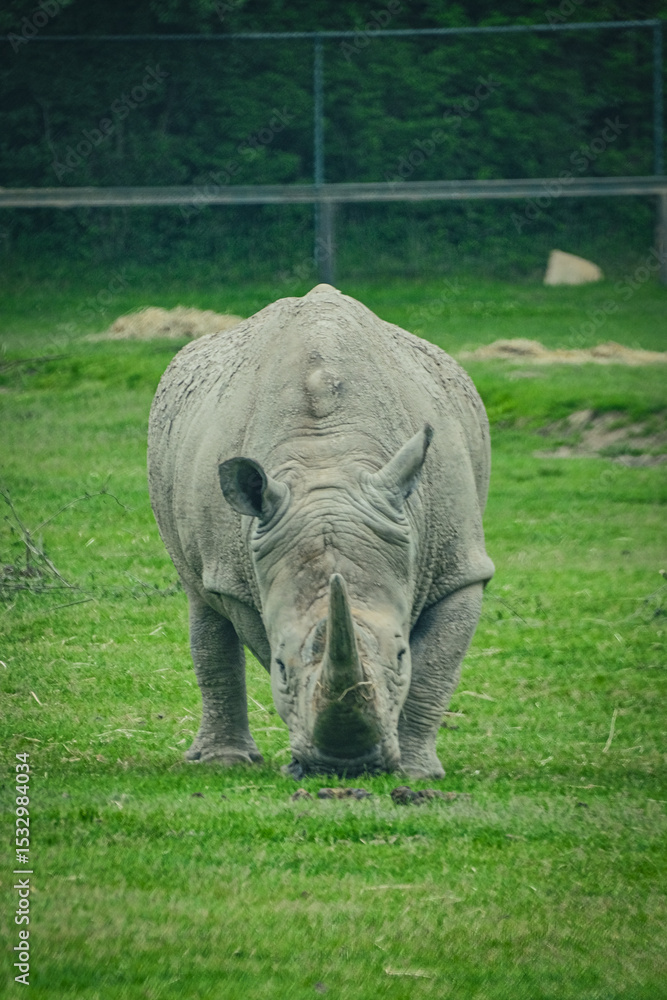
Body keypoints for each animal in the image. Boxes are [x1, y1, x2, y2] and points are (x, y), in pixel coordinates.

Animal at [147, 284, 494, 778]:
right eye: (280, 667)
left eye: (401, 656)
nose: (346, 765)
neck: (328, 464)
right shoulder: (244, 573)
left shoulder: (459, 566)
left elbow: (434, 671)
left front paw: (414, 772)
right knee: (202, 597)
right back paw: (223, 761)